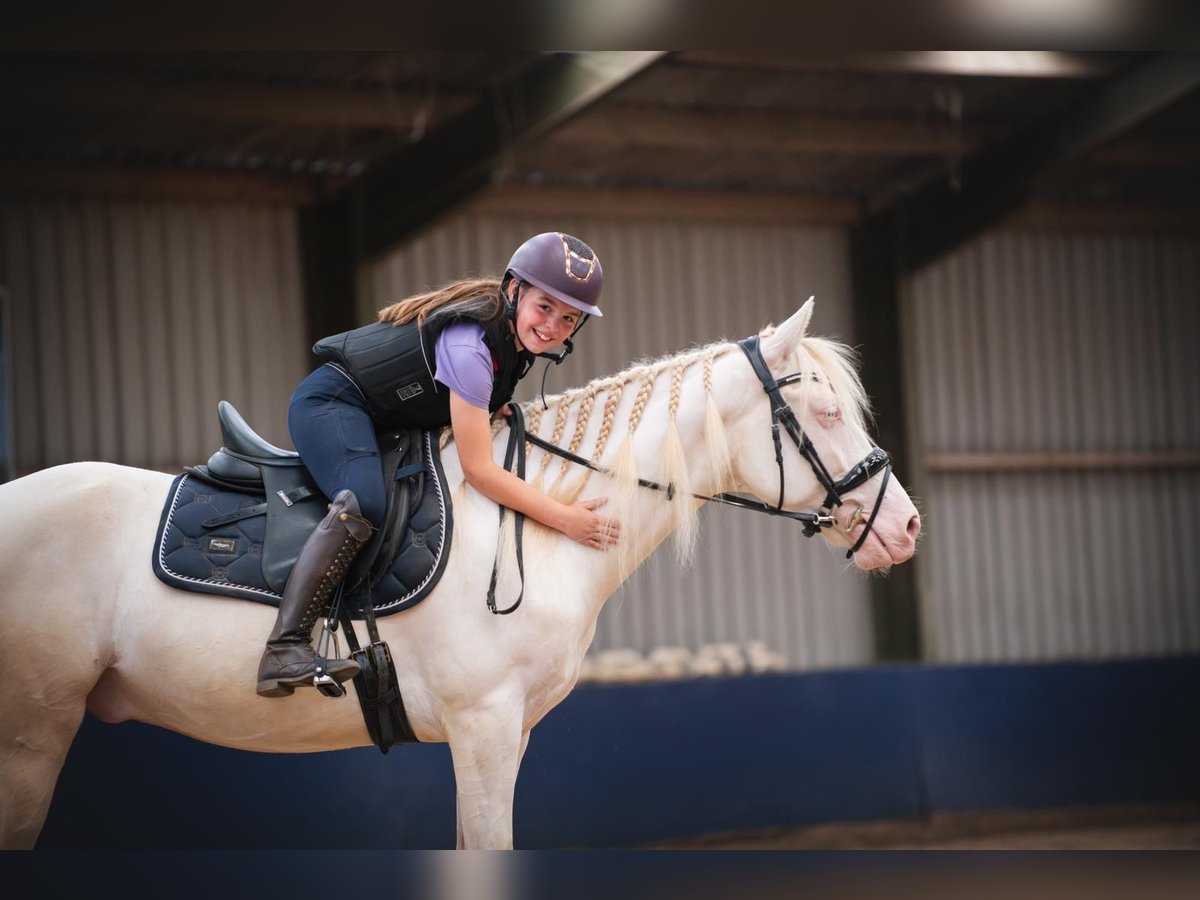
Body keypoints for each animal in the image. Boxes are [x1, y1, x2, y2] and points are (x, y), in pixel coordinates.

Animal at [0, 300, 921, 849]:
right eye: (826, 413)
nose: (907, 527)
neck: (536, 524)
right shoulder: (483, 728)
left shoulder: (511, 733)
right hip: (30, 738)